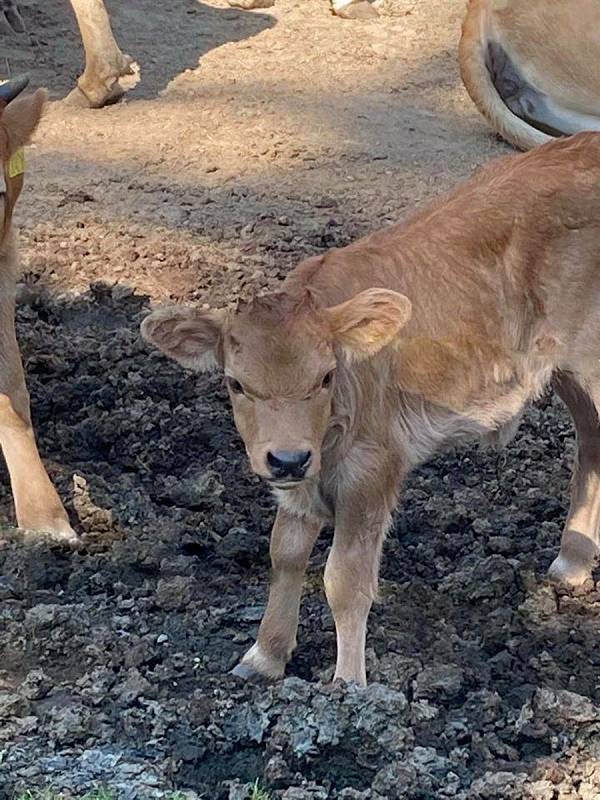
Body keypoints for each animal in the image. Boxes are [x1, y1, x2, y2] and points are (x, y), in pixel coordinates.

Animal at [143, 133, 600, 688]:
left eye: (325, 376)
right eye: (236, 384)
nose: (288, 459)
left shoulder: (372, 466)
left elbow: (345, 578)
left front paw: (348, 685)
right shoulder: (302, 479)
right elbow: (285, 552)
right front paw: (264, 656)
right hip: (572, 374)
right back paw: (572, 561)